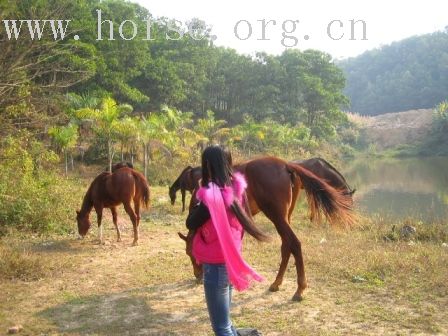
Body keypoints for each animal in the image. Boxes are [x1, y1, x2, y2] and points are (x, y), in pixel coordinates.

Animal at [178, 156, 354, 300]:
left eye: (191, 254)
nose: (198, 276)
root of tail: (285, 165)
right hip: (285, 217)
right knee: (286, 245)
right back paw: (277, 283)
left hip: (276, 216)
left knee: (294, 244)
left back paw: (299, 289)